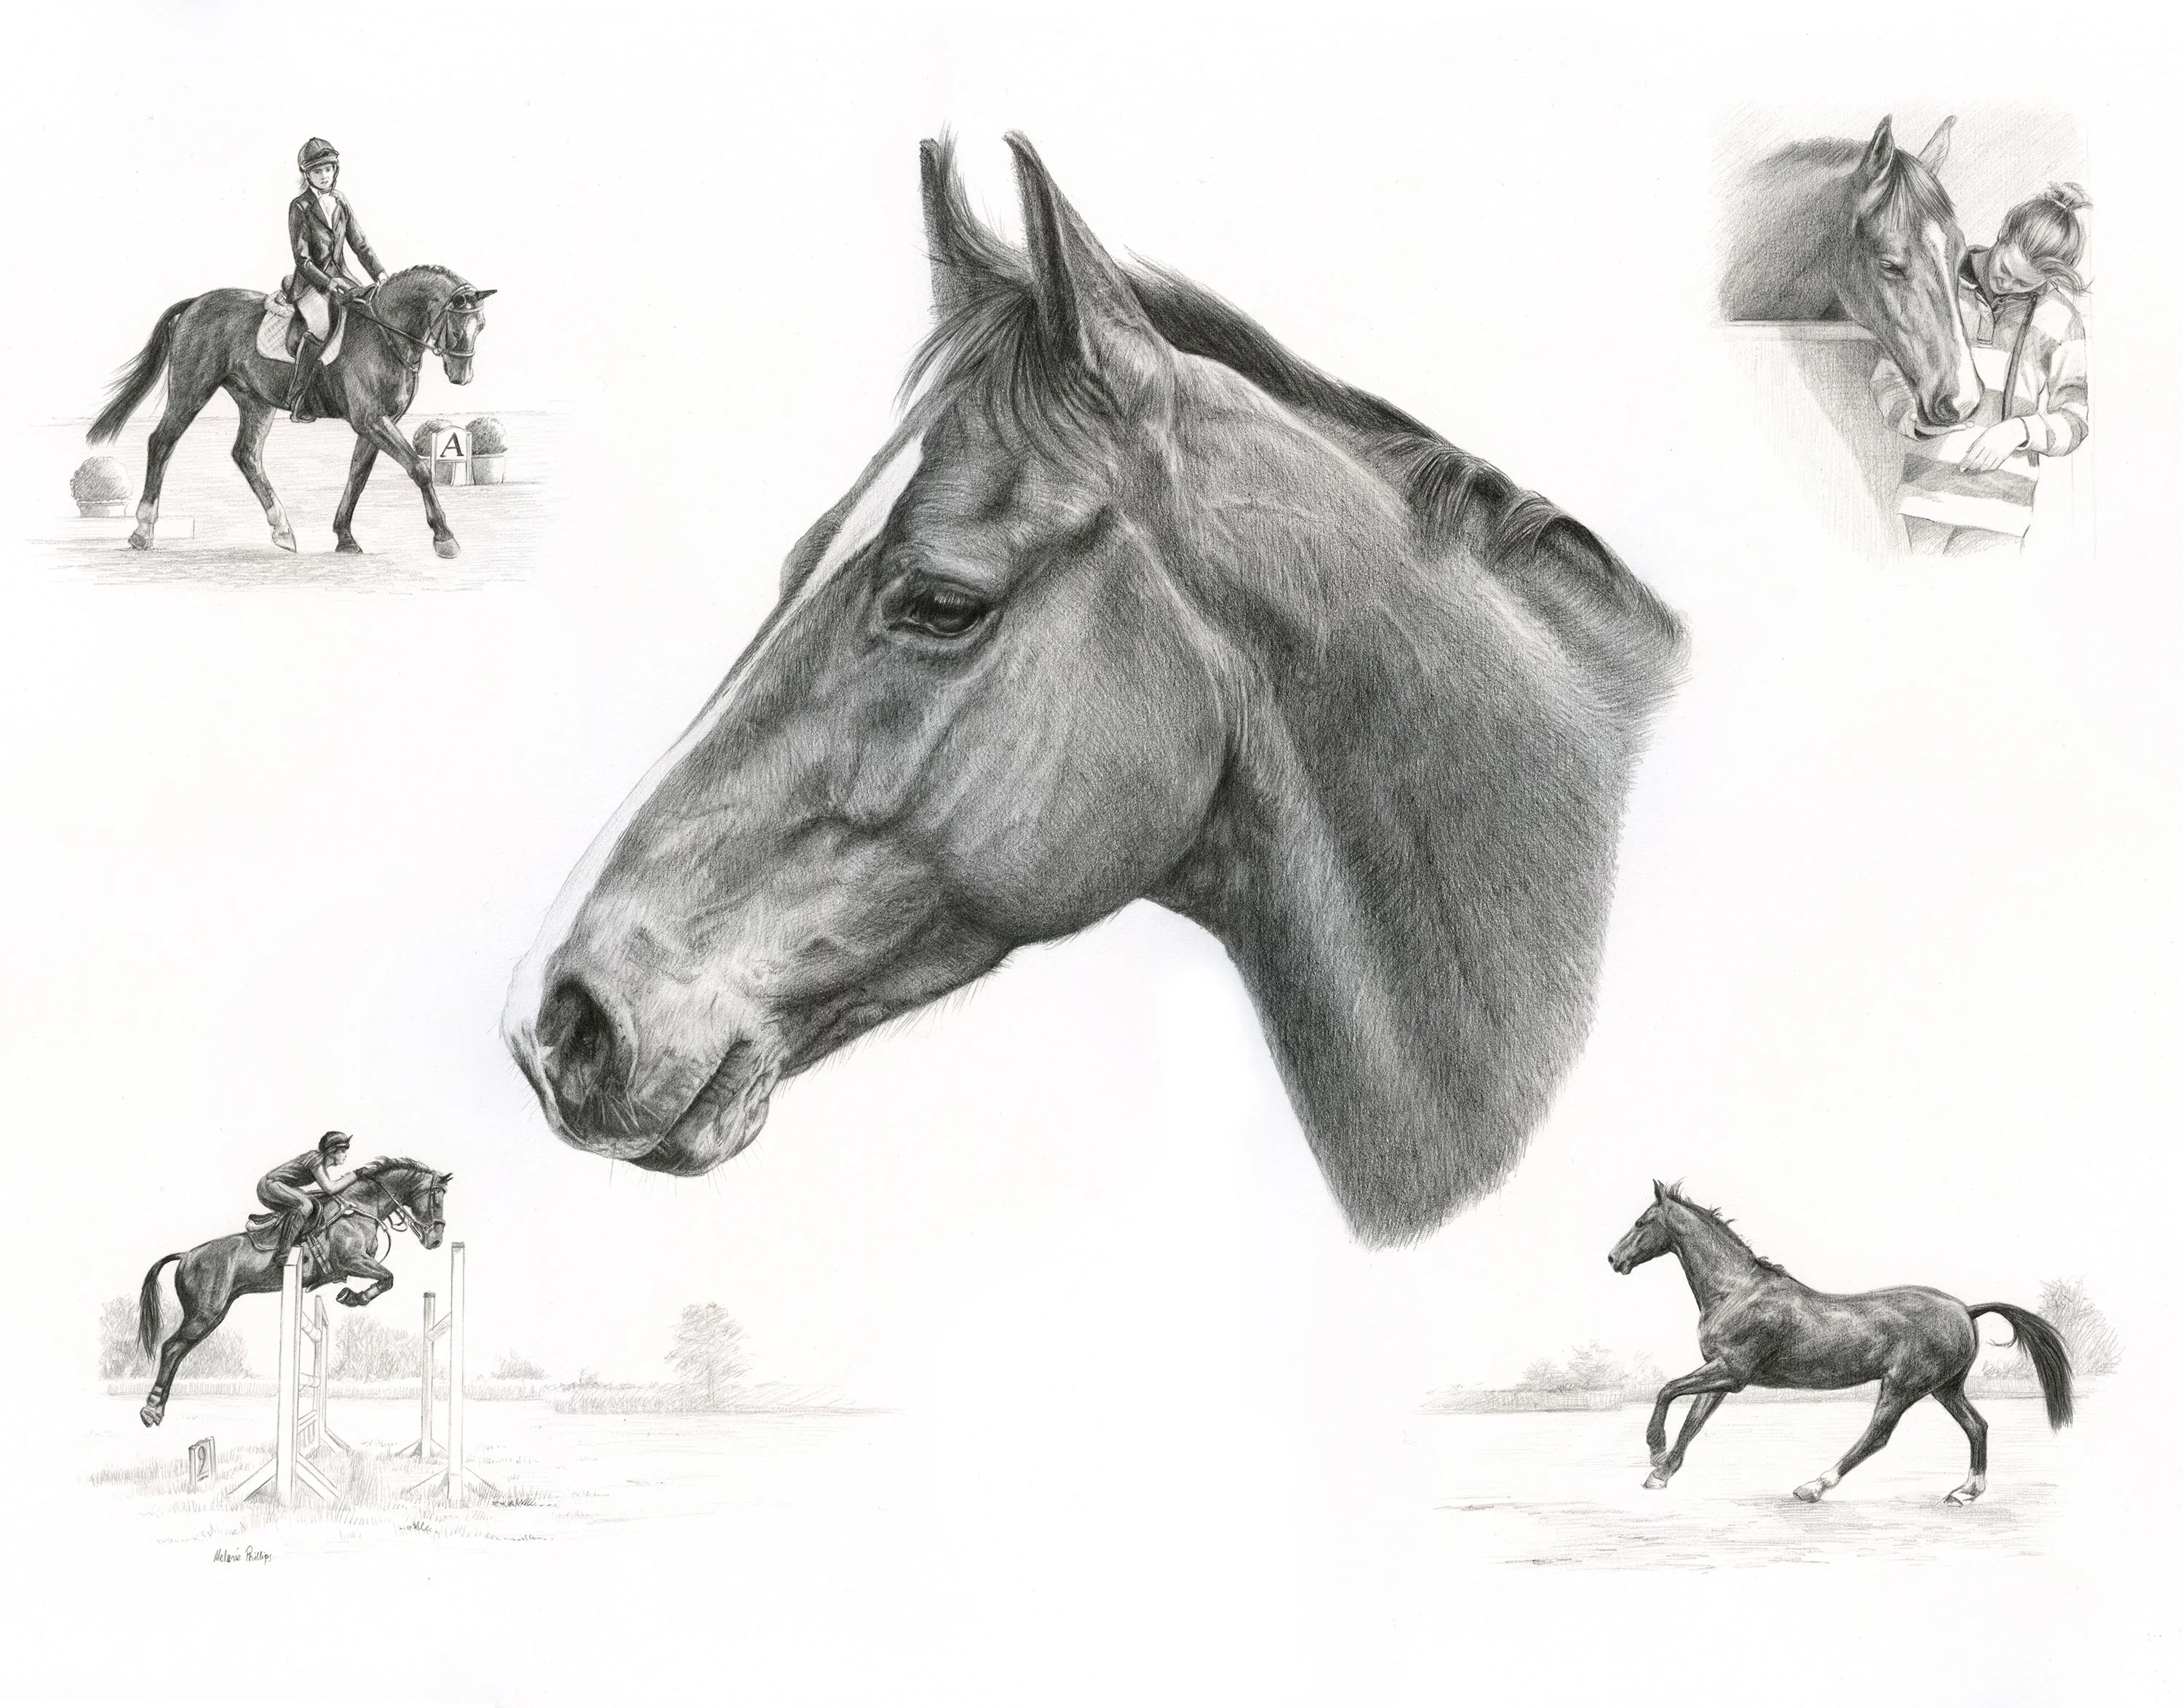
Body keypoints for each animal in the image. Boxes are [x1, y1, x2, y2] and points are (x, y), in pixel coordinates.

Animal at [86, 266, 496, 559]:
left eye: (481, 325)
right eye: (457, 326)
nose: (463, 376)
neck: (384, 334)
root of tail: (197, 302)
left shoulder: (376, 424)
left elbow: (357, 476)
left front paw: (345, 537)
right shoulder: (371, 420)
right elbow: (419, 470)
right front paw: (445, 538)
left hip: (256, 402)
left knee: (247, 455)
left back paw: (282, 530)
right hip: (191, 391)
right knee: (162, 442)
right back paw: (143, 532)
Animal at [134, 1158, 451, 1428]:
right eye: (437, 1197)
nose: (436, 1240)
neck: (360, 1206)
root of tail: (187, 1255)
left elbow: (387, 1279)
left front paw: (351, 1296)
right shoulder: (353, 1261)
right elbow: (388, 1278)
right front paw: (353, 1297)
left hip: (214, 1314)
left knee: (179, 1351)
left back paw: (158, 1408)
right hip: (204, 1314)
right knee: (172, 1347)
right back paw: (151, 1409)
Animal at [1608, 1182, 2073, 1504]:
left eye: (1641, 1222)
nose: (1614, 1259)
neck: (1738, 1291)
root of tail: (1966, 1309)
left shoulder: (1732, 1372)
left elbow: (1667, 1390)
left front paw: (1654, 1451)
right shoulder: (1720, 1376)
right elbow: (1693, 1422)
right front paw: (1661, 1473)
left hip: (1903, 1387)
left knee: (1877, 1436)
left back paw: (1814, 1487)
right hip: (1945, 1388)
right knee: (1977, 1426)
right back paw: (1965, 1492)